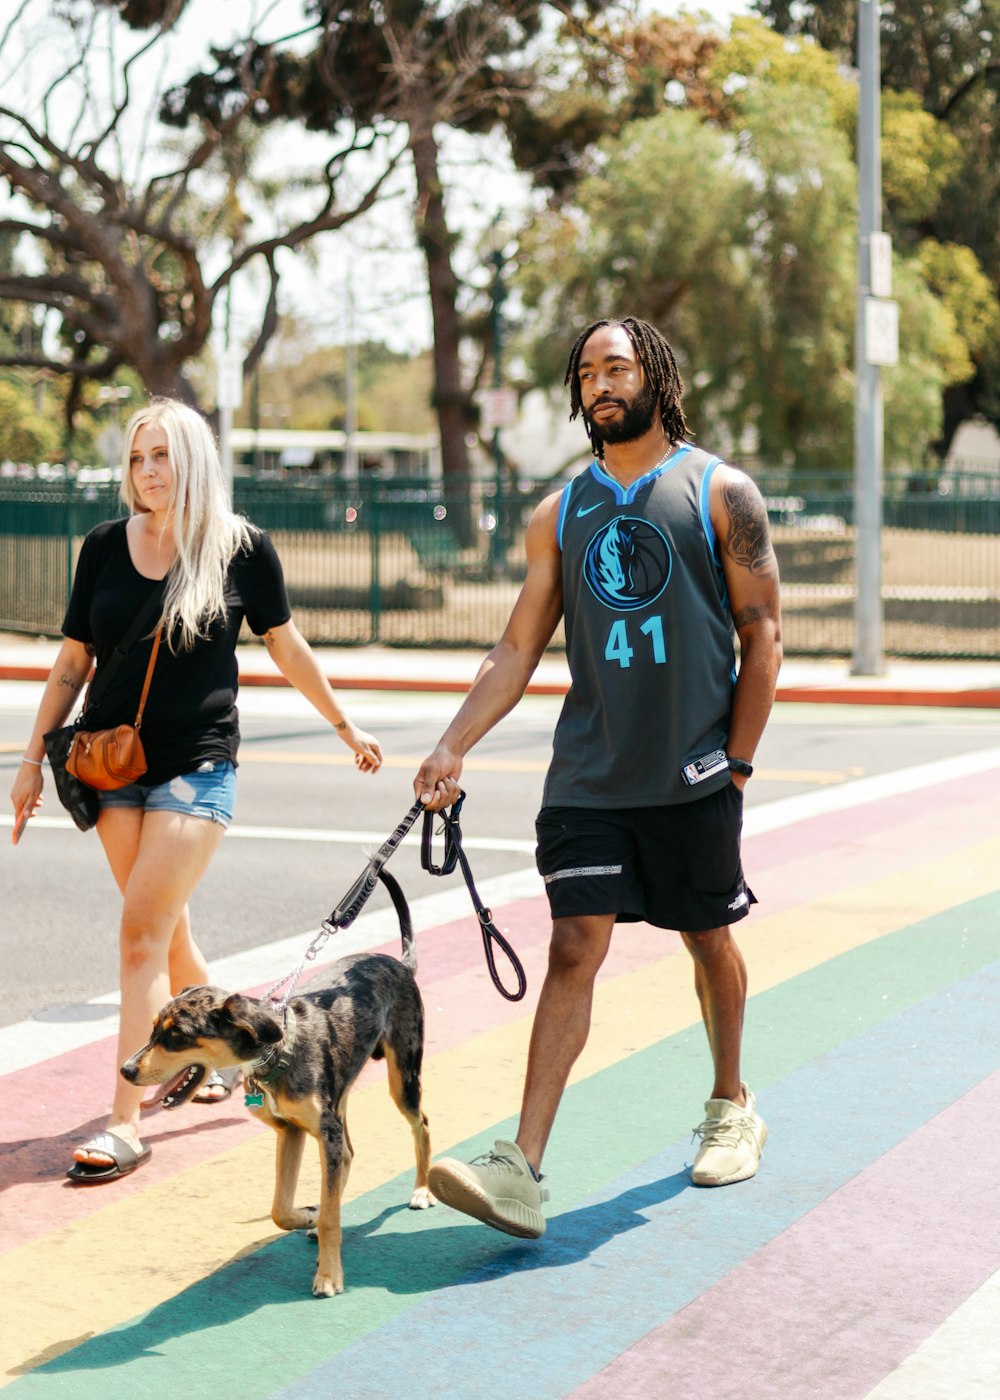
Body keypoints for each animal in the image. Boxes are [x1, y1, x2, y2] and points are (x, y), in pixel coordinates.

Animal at [119, 873, 431, 1299]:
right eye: (152, 1030)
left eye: (177, 1036)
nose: (126, 1070)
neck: (277, 1052)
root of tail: (399, 963)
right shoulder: (292, 1131)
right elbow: (280, 1210)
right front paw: (308, 1216)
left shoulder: (321, 1129)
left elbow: (327, 1215)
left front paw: (329, 1275)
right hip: (339, 1099)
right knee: (348, 1154)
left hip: (402, 1080)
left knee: (422, 1125)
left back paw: (422, 1190)